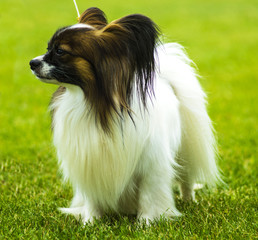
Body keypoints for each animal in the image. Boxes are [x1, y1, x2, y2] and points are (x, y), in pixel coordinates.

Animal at [29, 7, 220, 225]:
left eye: (60, 51)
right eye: (48, 48)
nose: (32, 63)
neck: (94, 104)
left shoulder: (150, 165)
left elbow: (148, 197)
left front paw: (146, 223)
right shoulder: (90, 161)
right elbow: (92, 198)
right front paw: (90, 222)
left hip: (186, 151)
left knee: (186, 179)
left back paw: (189, 200)